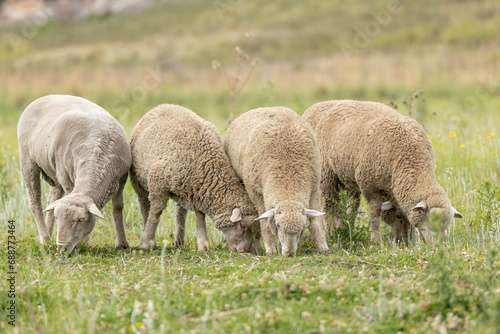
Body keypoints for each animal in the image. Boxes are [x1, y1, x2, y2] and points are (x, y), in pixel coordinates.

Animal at [17, 95, 132, 254]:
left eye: (81, 219)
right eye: (58, 218)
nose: (61, 250)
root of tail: (43, 97)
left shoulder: (121, 178)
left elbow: (118, 208)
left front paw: (122, 243)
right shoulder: (67, 179)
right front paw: (85, 244)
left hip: (54, 173)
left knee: (51, 200)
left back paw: (49, 236)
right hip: (27, 159)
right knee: (34, 202)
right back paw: (45, 239)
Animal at [129, 103, 258, 252]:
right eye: (242, 225)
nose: (246, 251)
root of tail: (163, 105)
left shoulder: (198, 189)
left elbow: (200, 215)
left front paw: (203, 244)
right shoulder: (158, 184)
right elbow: (155, 213)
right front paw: (147, 242)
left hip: (182, 190)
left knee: (180, 212)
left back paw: (179, 240)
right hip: (138, 182)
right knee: (145, 206)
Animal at [225, 106, 330, 256]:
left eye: (302, 228)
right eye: (277, 225)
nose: (289, 254)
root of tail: (263, 108)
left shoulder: (314, 189)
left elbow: (315, 222)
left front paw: (323, 247)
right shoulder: (256, 193)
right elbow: (264, 222)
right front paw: (270, 249)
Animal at [302, 99, 462, 243]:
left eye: (447, 226)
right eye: (432, 223)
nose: (440, 246)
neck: (411, 161)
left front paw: (409, 241)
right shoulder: (370, 187)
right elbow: (375, 214)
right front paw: (376, 241)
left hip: (349, 178)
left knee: (352, 206)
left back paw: (347, 229)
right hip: (327, 175)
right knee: (330, 206)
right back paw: (332, 234)